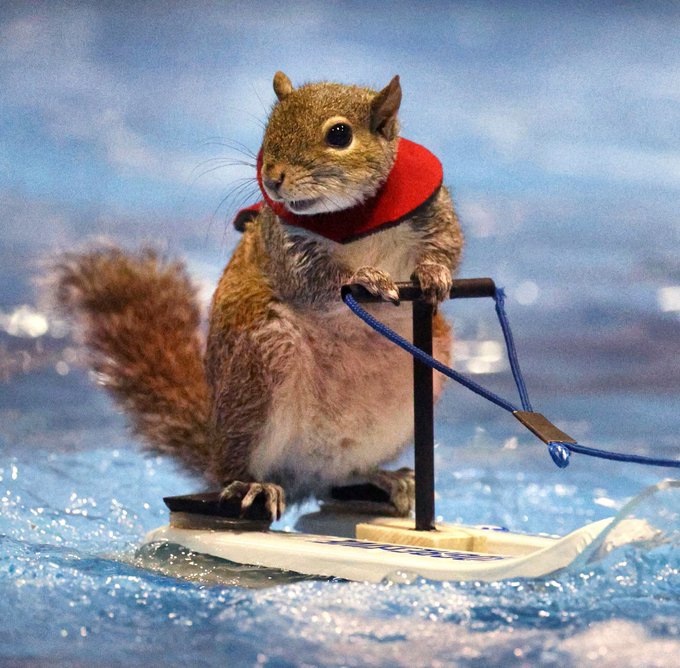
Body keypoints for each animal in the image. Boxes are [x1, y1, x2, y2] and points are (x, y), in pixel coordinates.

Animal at [55, 72, 463, 520]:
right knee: (240, 467)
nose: (272, 179)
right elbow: (315, 283)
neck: (356, 215)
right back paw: (254, 485)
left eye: (339, 134)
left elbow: (448, 246)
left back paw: (387, 479)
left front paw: (435, 274)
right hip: (260, 365)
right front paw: (366, 277)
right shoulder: (286, 245)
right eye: (269, 129)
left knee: (341, 476)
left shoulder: (435, 215)